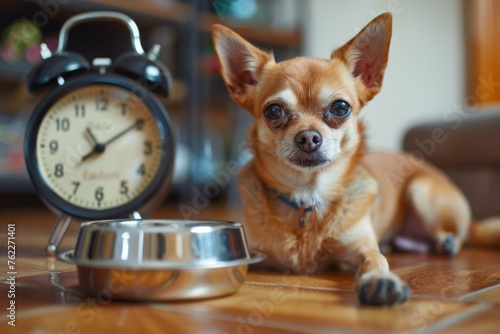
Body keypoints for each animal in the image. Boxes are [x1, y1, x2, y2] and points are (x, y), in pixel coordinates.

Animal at [211, 12, 500, 306]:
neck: (308, 196)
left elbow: (375, 259)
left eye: (340, 107)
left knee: (455, 234)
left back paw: (446, 242)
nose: (308, 137)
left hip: (423, 193)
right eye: (273, 111)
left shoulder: (361, 246)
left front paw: (380, 279)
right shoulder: (253, 249)